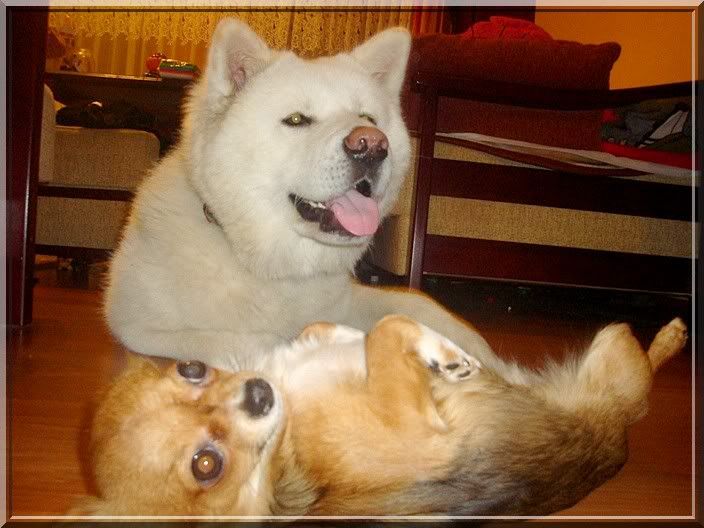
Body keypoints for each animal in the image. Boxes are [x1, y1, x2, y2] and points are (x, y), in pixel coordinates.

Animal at [69, 316, 687, 516]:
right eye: (205, 464)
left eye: (192, 368)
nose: (260, 394)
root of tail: (619, 447)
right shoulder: (421, 433)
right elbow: (389, 328)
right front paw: (444, 355)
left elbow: (335, 330)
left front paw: (335, 334)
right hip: (615, 357)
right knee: (644, 364)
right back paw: (675, 334)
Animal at [104, 18, 510, 376]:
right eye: (297, 120)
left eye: (368, 118)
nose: (371, 145)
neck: (275, 268)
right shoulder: (137, 325)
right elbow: (255, 341)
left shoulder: (347, 300)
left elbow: (420, 305)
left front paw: (495, 362)